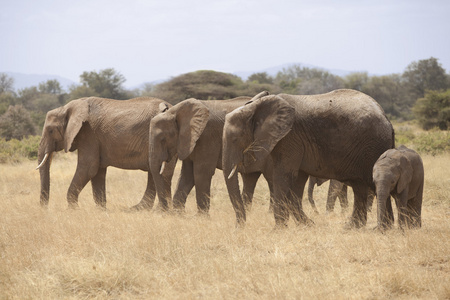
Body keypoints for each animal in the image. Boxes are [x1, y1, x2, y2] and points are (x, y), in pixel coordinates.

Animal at [35, 96, 176, 209]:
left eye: (50, 131)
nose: (44, 209)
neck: (67, 108)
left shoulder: (88, 133)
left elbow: (88, 168)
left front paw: (74, 210)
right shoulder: (93, 137)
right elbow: (97, 171)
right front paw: (101, 210)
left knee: (160, 172)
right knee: (158, 172)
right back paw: (141, 209)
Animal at [222, 89, 394, 227]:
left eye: (235, 139)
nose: (239, 227)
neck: (254, 107)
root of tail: (386, 118)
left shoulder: (290, 137)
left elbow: (283, 175)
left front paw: (278, 229)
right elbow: (298, 179)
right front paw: (307, 225)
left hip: (372, 147)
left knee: (372, 184)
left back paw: (383, 227)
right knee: (360, 187)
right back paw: (356, 227)